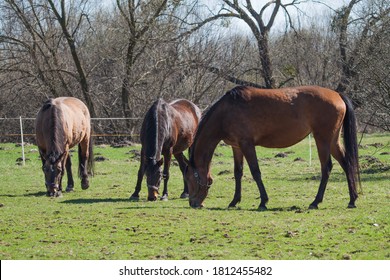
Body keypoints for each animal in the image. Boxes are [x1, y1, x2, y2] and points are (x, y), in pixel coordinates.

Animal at [184, 85, 362, 210]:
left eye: (190, 178)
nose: (193, 203)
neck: (227, 111)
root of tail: (337, 95)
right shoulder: (237, 147)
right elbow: (238, 173)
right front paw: (234, 201)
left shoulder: (247, 144)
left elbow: (255, 172)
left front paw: (263, 201)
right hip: (333, 141)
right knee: (346, 164)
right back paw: (352, 199)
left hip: (322, 139)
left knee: (326, 168)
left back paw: (315, 201)